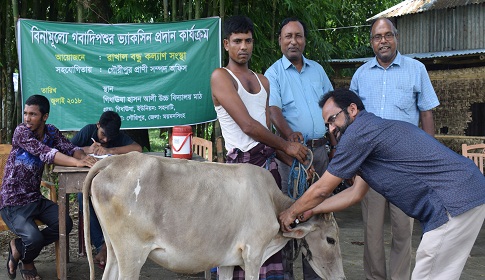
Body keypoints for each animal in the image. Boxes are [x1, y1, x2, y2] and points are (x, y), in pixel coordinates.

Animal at [83, 152, 344, 280]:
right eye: (331, 239)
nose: (341, 278)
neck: (271, 200)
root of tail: (114, 161)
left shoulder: (227, 260)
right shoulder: (253, 253)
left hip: (114, 250)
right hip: (132, 253)